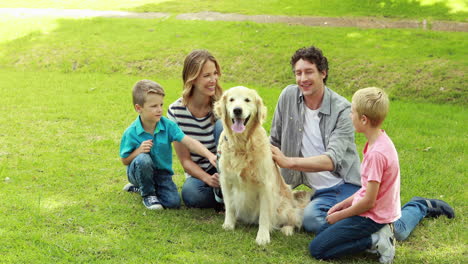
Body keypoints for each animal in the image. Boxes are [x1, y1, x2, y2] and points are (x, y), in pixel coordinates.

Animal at [215, 86, 310, 245]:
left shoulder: (265, 185)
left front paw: (263, 236)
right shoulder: (226, 181)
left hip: (283, 207)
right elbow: (229, 206)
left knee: (294, 219)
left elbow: (264, 215)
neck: (242, 146)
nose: (237, 110)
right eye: (231, 100)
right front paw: (228, 224)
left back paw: (287, 229)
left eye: (247, 100)